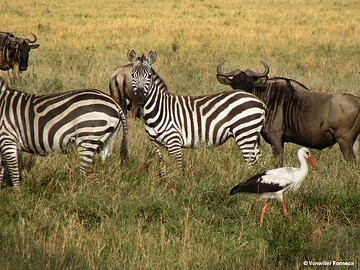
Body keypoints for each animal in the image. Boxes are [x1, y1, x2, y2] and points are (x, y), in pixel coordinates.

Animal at [0, 77, 129, 189]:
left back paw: (78, 191)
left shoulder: (7, 138)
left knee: (84, 171)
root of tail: (114, 102)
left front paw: (17, 193)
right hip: (108, 139)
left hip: (88, 137)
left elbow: (13, 169)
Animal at [128, 50, 266, 177]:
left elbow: (178, 167)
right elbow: (162, 167)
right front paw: (163, 182)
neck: (158, 108)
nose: (140, 99)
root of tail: (259, 102)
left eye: (149, 76)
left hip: (244, 133)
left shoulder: (174, 142)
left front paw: (178, 184)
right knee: (258, 161)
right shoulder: (157, 144)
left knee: (251, 162)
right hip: (251, 135)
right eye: (132, 75)